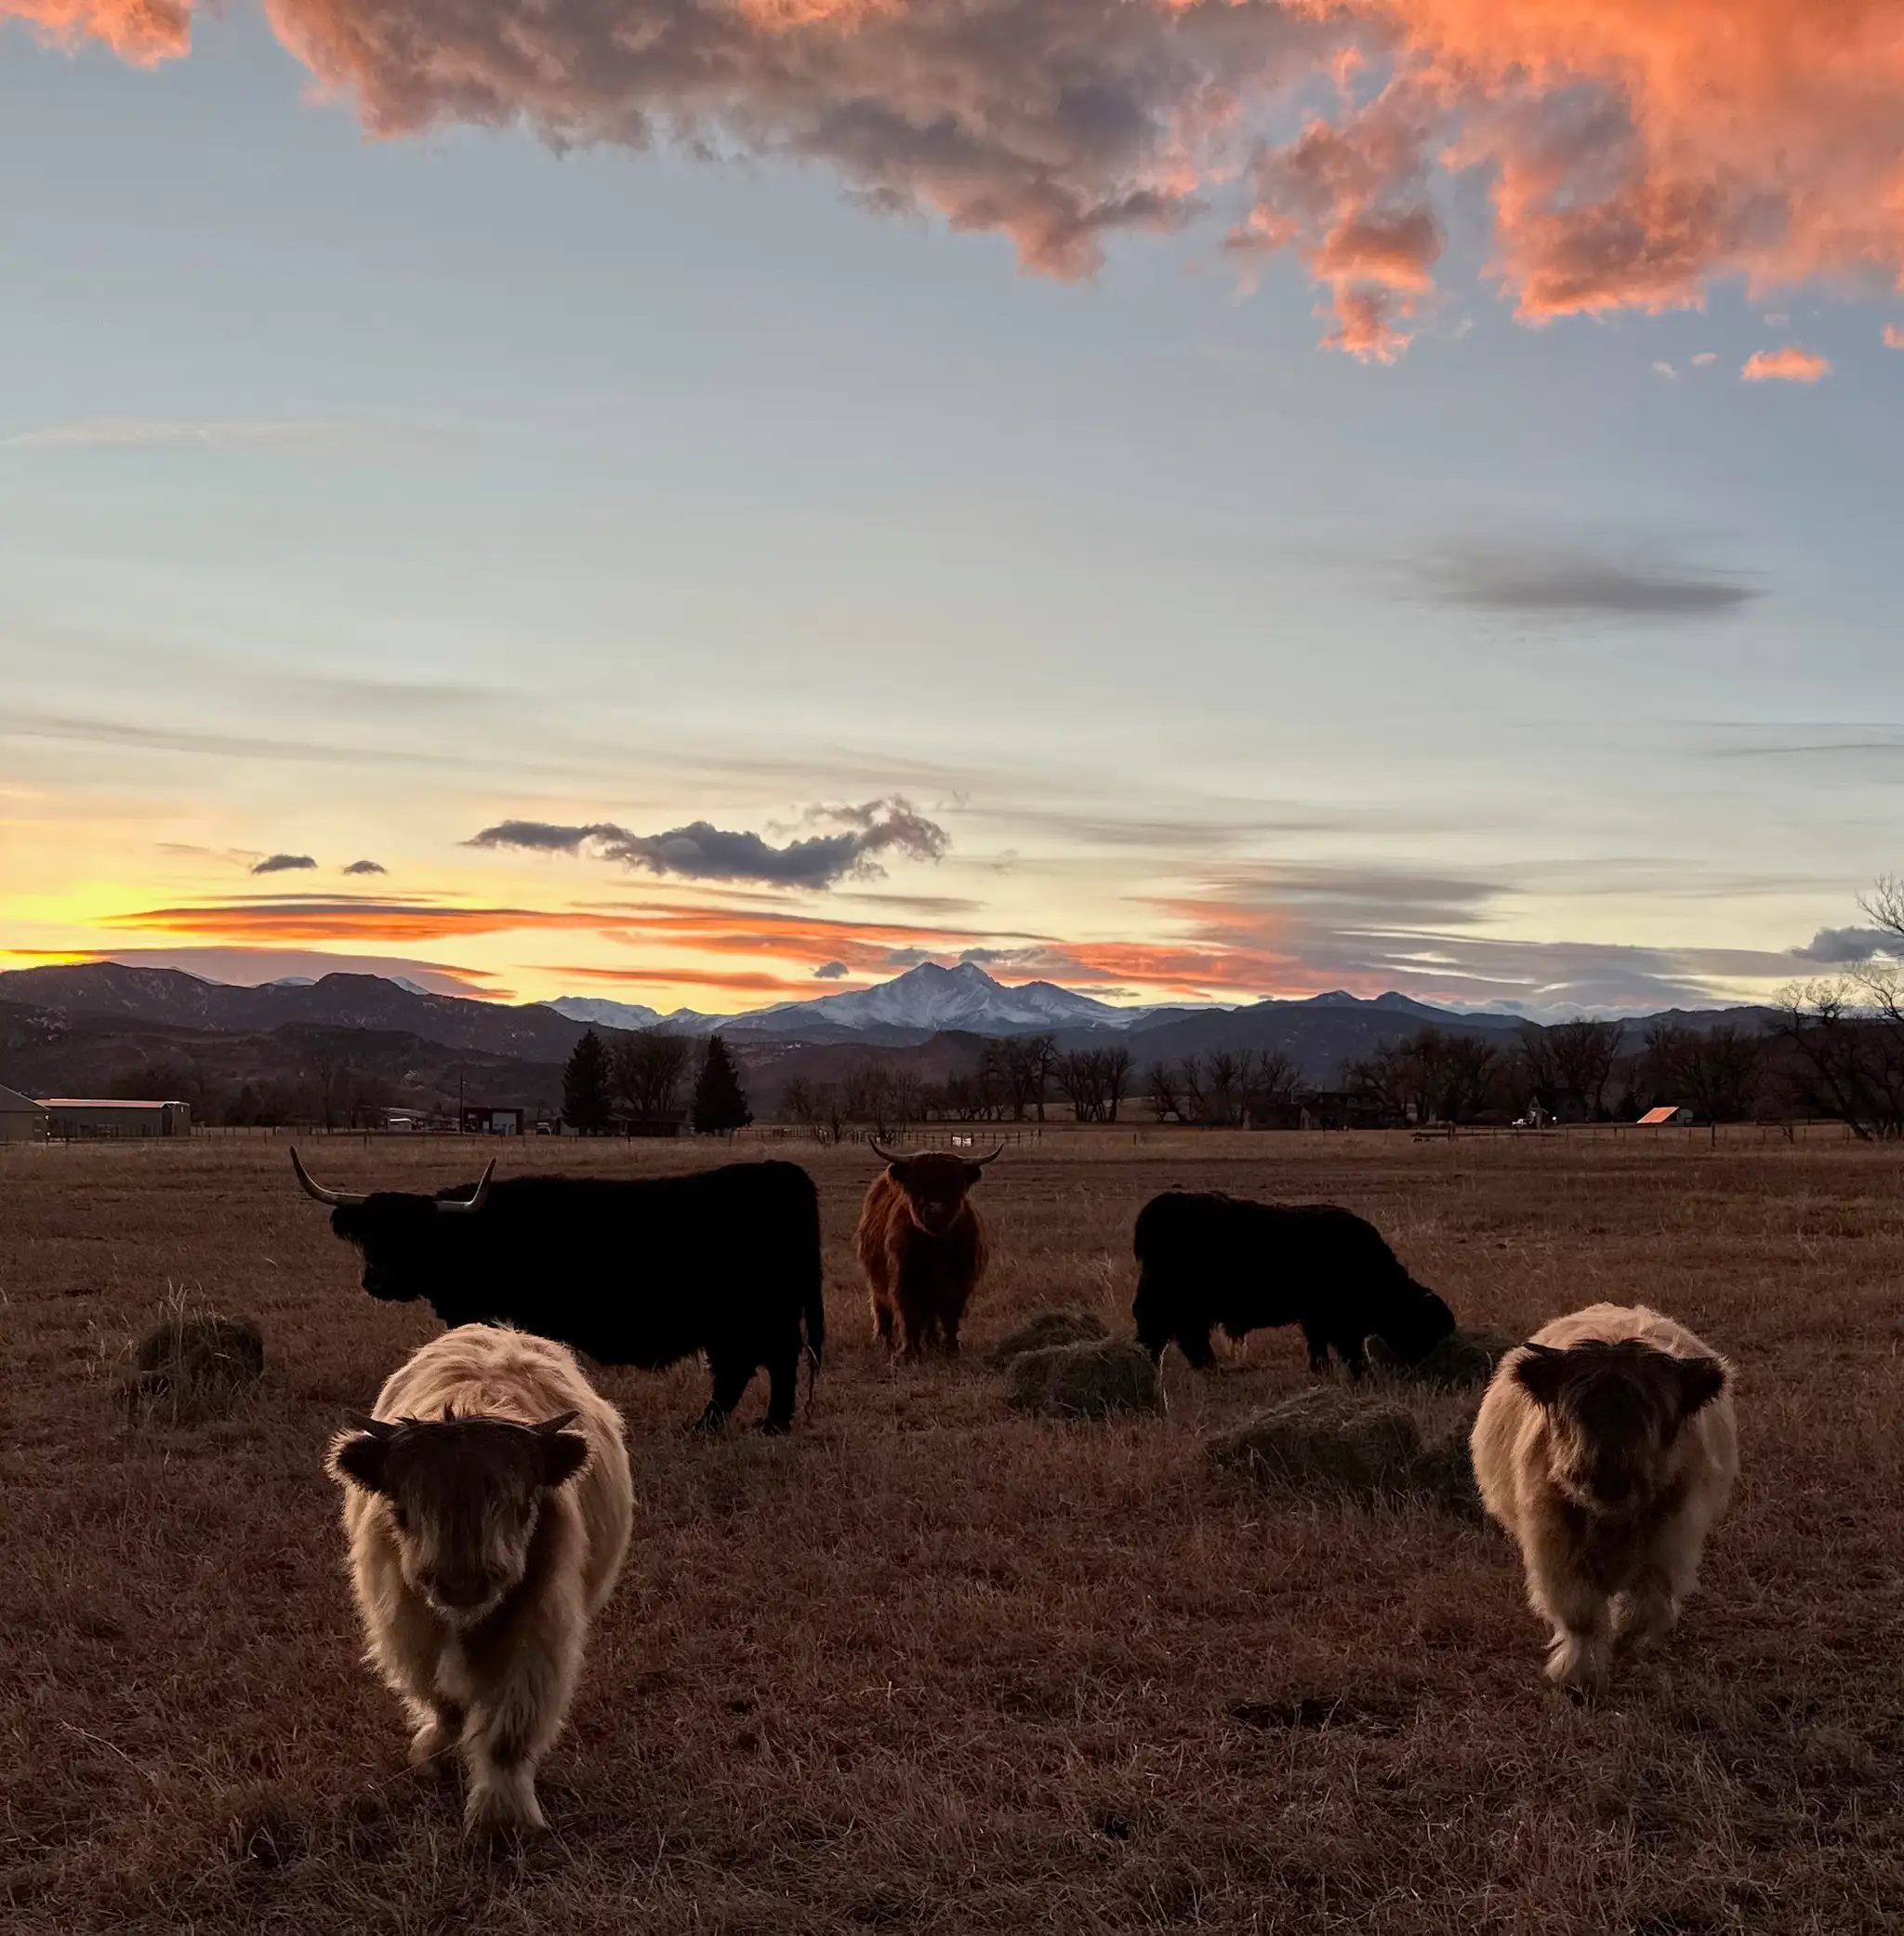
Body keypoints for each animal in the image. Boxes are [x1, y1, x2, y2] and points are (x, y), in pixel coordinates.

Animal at [292, 1151, 824, 1433]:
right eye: (371, 1234)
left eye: (417, 1235)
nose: (376, 1279)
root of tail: (780, 1170)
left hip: (758, 1314)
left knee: (770, 1361)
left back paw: (763, 1426)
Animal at [326, 1324, 634, 1835]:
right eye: (404, 1511)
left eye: (522, 1507)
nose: (462, 1585)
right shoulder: (408, 1627)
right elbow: (443, 1700)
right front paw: (436, 1757)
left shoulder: (540, 1631)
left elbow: (508, 1733)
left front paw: (501, 1816)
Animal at [855, 1141, 1001, 1359]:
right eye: (916, 1182)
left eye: (954, 1182)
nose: (936, 1207)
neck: (936, 1247)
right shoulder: (904, 1279)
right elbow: (908, 1315)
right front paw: (908, 1354)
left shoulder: (960, 1281)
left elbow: (951, 1315)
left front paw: (951, 1348)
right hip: (875, 1278)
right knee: (881, 1307)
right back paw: (883, 1340)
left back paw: (932, 1342)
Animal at [1130, 1191, 1455, 1377]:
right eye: (1426, 1326)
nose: (1421, 1364)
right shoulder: (1338, 1321)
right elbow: (1348, 1349)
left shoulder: (1318, 1319)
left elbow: (1319, 1344)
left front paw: (1321, 1370)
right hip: (1171, 1303)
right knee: (1163, 1336)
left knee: (1183, 1338)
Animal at [1470, 1302, 1737, 1699]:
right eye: (1577, 1409)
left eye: (1652, 1410)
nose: (1607, 1474)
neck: (1613, 1519)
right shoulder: (1557, 1550)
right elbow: (1580, 1615)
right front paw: (1577, 1675)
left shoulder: (1672, 1541)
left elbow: (1648, 1606)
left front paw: (1623, 1643)